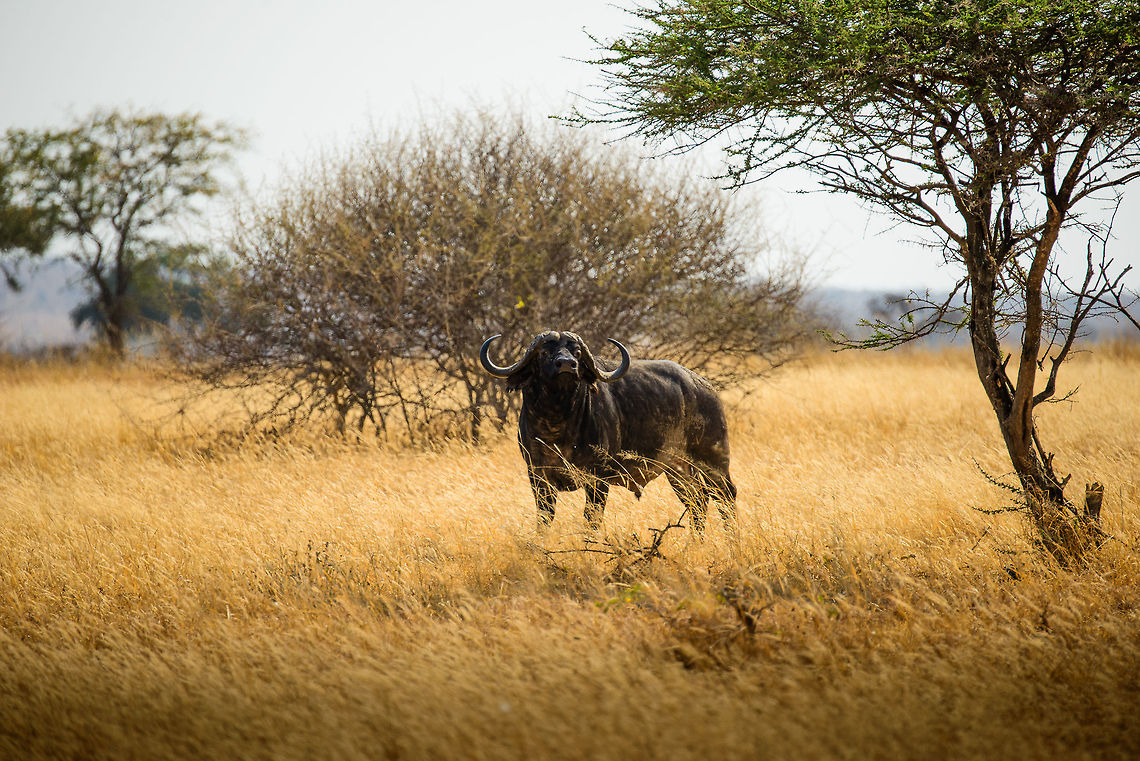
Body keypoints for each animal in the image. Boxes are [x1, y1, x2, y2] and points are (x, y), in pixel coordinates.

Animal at [479, 330, 736, 531]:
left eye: (577, 353)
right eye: (544, 352)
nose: (567, 365)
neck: (557, 424)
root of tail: (705, 388)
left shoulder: (598, 477)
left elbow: (591, 519)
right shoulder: (538, 477)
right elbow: (544, 519)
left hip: (714, 462)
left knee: (726, 497)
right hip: (678, 470)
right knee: (698, 502)